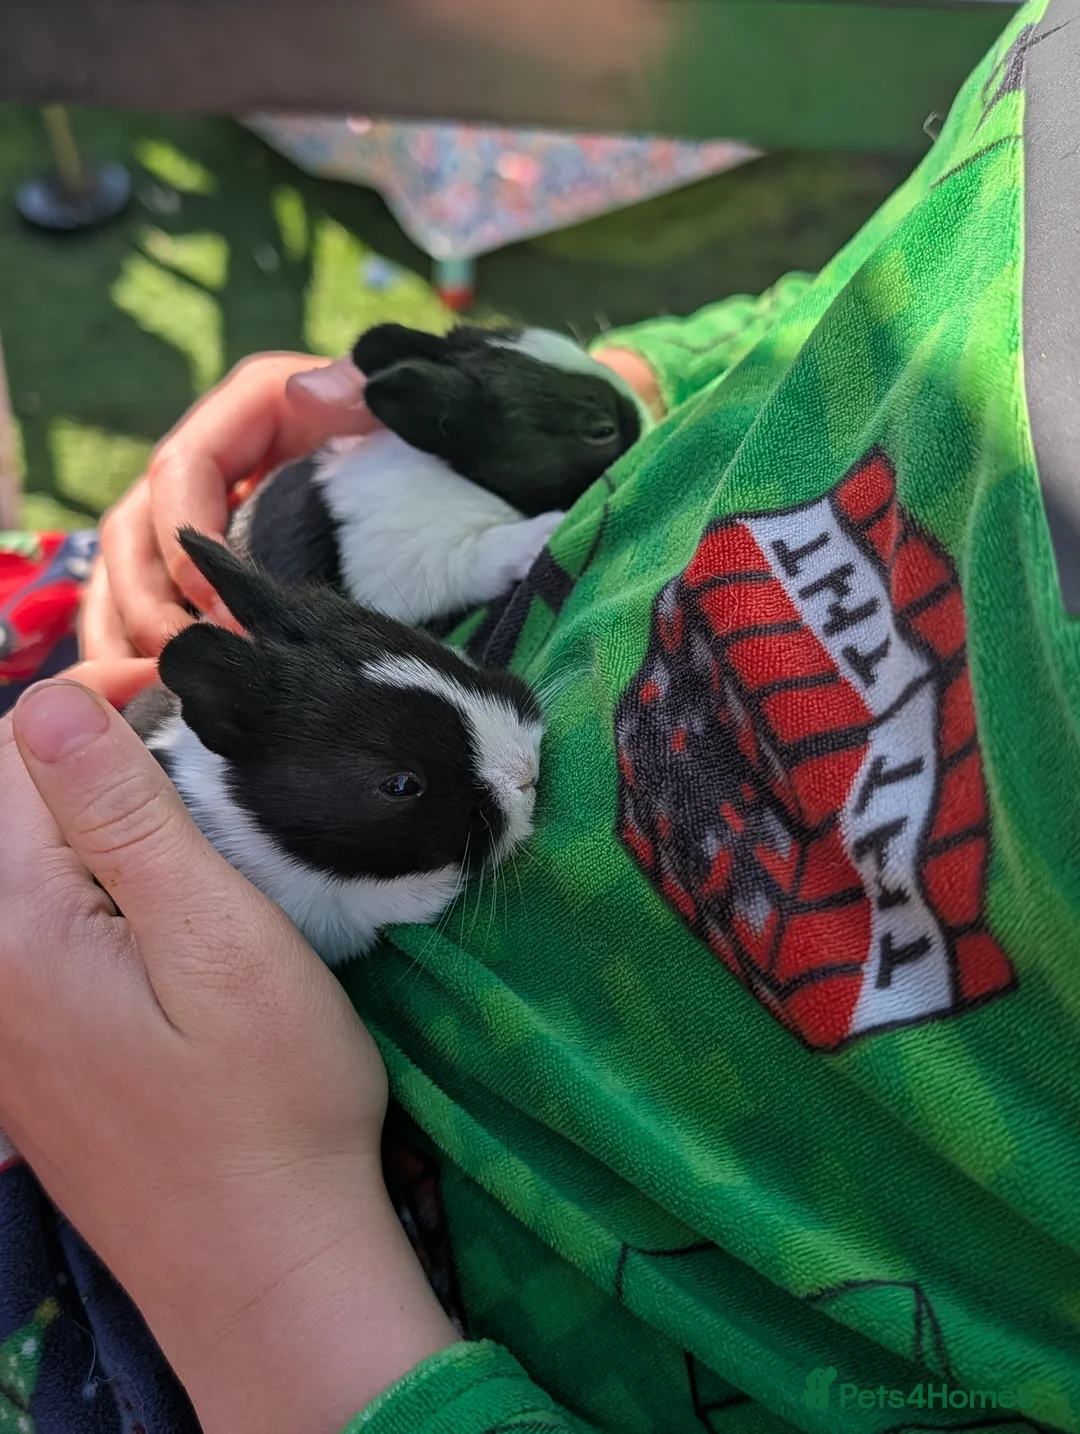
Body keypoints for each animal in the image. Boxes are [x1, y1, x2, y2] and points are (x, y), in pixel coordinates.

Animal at [227, 323, 649, 626]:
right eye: (601, 431)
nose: (648, 423)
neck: (459, 478)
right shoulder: (401, 567)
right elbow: (474, 556)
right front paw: (543, 532)